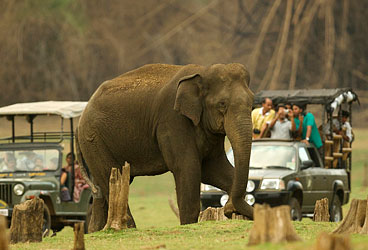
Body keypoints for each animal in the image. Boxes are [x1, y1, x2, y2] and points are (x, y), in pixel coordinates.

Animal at [76, 63, 254, 232]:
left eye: (252, 102)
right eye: (222, 104)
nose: (229, 209)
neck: (203, 71)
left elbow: (214, 169)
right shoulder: (172, 121)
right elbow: (187, 168)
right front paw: (188, 225)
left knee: (101, 192)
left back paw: (96, 230)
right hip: (94, 139)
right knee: (110, 179)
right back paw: (128, 228)